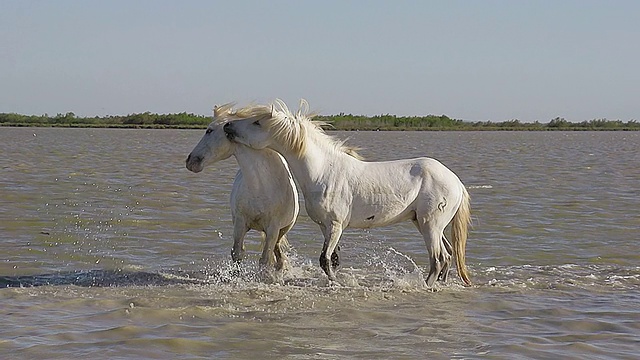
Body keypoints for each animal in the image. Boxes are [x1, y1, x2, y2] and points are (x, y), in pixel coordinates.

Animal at [184, 104, 298, 272]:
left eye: (209, 130)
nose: (190, 161)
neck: (260, 186)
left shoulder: (273, 228)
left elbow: (265, 259)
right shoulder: (240, 223)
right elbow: (237, 253)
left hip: (282, 230)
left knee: (277, 254)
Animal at [224, 99, 470, 286]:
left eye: (257, 122)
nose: (227, 127)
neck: (323, 170)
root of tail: (456, 182)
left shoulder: (336, 225)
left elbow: (324, 259)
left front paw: (336, 283)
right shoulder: (325, 227)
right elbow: (333, 259)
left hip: (430, 225)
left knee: (438, 258)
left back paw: (425, 286)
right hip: (425, 223)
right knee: (448, 254)